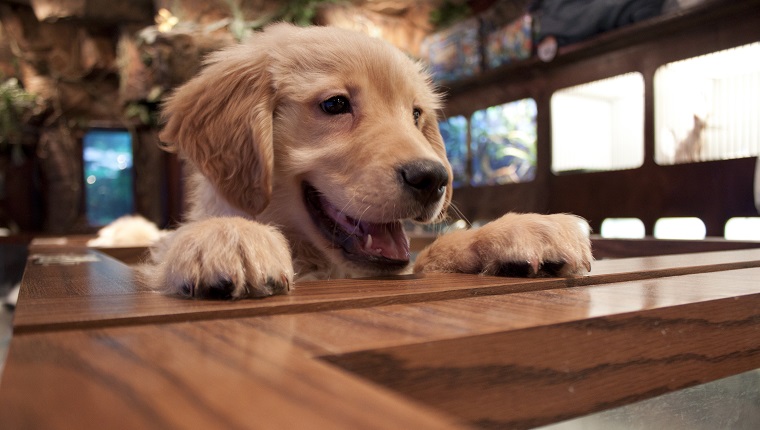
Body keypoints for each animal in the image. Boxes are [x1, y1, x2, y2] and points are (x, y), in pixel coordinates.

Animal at [144, 23, 592, 298]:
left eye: (416, 114)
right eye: (335, 104)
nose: (434, 178)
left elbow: (431, 252)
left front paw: (521, 229)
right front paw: (227, 233)